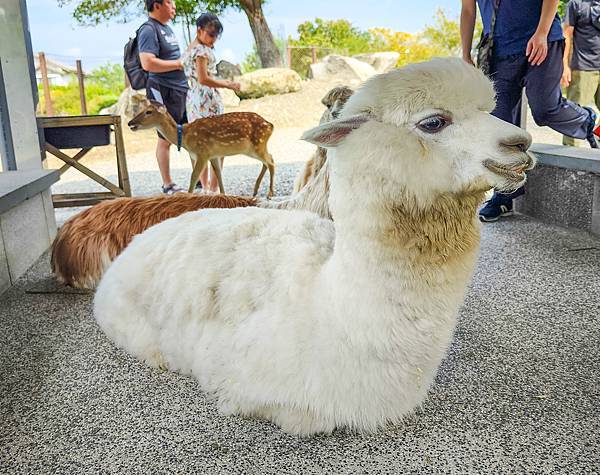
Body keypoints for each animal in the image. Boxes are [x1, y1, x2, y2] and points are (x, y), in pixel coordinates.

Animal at [130, 102, 278, 199]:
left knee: (271, 161)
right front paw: (223, 195)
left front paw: (189, 196)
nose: (130, 123)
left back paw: (270, 193)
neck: (185, 137)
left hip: (257, 145)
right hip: (252, 149)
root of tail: (270, 125)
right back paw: (255, 191)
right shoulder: (213, 155)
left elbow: (194, 176)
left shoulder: (202, 152)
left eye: (148, 111)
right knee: (267, 160)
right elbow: (218, 174)